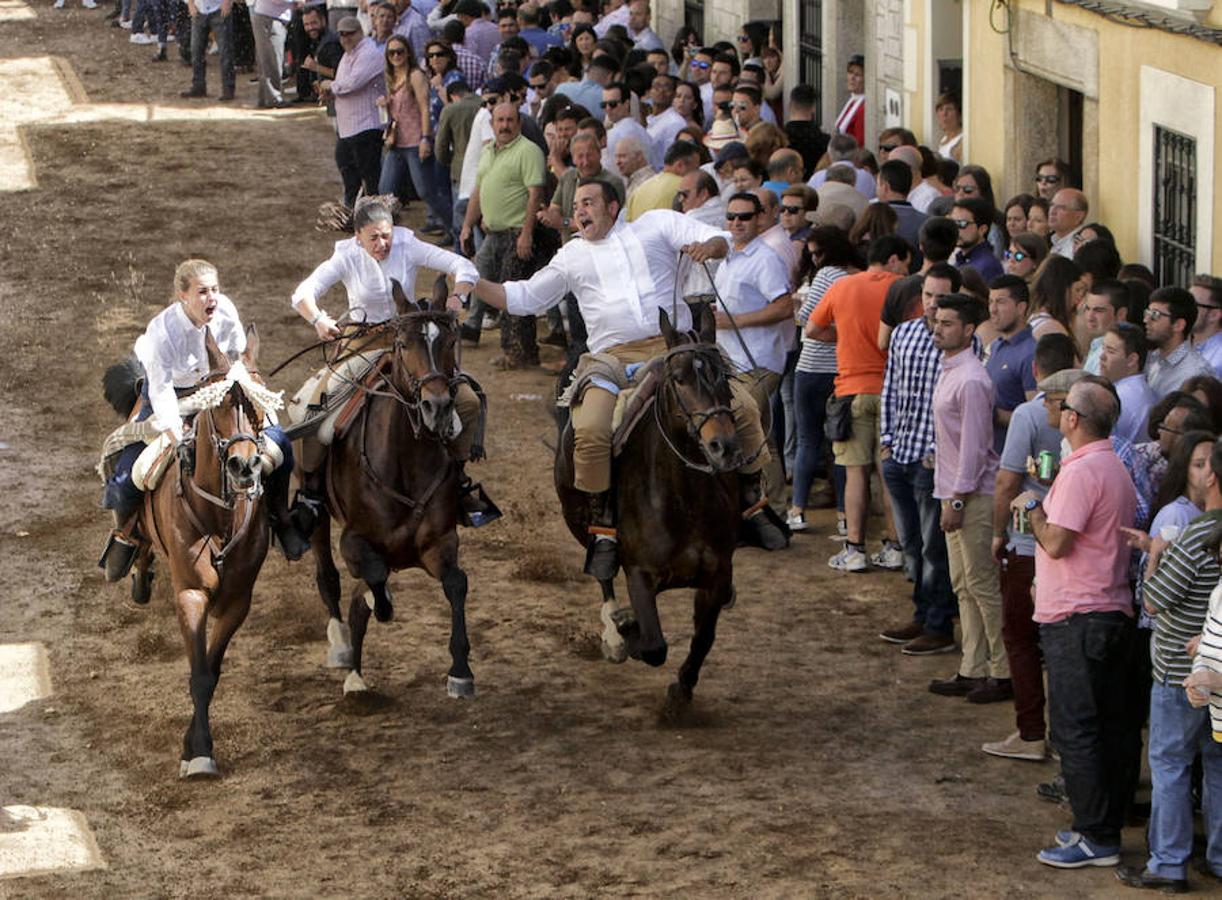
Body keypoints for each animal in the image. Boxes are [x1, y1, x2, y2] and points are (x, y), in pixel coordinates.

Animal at [132, 327, 273, 777]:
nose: (244, 466)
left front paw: (195, 744)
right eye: (221, 404)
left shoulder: (237, 601)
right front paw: (197, 754)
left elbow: (210, 670)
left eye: (260, 402)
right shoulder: (191, 594)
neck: (220, 516)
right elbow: (198, 674)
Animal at [310, 277, 471, 699]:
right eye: (403, 344)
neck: (404, 461)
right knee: (327, 575)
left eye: (449, 341)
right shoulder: (354, 540)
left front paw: (460, 671)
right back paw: (342, 649)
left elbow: (456, 583)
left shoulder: (439, 541)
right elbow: (374, 582)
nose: (437, 406)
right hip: (316, 516)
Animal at [557, 305, 742, 704]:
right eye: (679, 378)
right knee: (604, 575)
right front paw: (626, 629)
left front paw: (682, 687)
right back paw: (615, 634)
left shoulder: (717, 576)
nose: (723, 446)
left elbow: (703, 637)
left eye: (725, 376)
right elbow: (654, 646)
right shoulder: (640, 574)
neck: (684, 502)